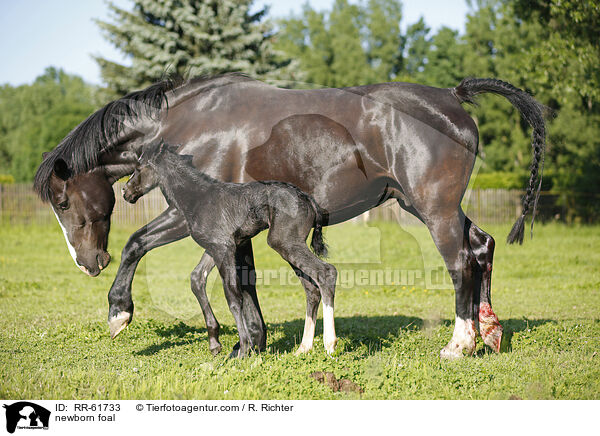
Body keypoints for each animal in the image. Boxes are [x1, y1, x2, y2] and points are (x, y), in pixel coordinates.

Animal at [125, 141, 338, 358]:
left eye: (138, 167)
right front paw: (215, 344)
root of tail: (307, 198)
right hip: (290, 245)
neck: (198, 197)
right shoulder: (217, 248)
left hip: (284, 242)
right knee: (311, 288)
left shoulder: (222, 248)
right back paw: (303, 348)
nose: (126, 191)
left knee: (326, 272)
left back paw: (330, 344)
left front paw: (243, 348)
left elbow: (233, 297)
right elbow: (197, 278)